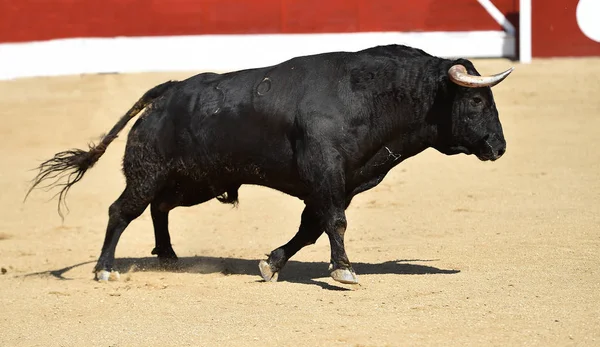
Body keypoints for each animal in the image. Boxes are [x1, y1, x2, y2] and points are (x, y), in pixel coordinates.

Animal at [25, 43, 510, 284]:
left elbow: (312, 228)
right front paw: (344, 270)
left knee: (159, 208)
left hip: (193, 182)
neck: (375, 94)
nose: (499, 147)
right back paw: (105, 269)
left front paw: (272, 264)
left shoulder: (340, 181)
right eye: (475, 100)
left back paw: (169, 257)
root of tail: (166, 92)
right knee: (122, 210)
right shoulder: (326, 172)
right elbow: (334, 222)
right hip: (150, 172)